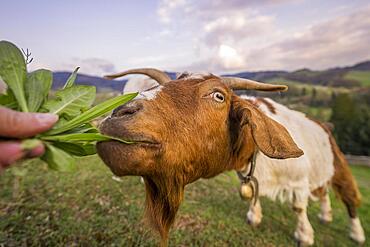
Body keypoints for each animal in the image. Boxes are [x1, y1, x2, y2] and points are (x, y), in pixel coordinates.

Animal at [97, 68, 366, 246]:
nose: (120, 114)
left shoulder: (298, 179)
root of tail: (324, 125)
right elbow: (253, 193)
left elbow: (299, 206)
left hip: (338, 164)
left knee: (348, 196)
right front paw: (254, 216)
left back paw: (356, 232)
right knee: (322, 192)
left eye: (219, 96)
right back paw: (326, 214)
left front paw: (305, 235)